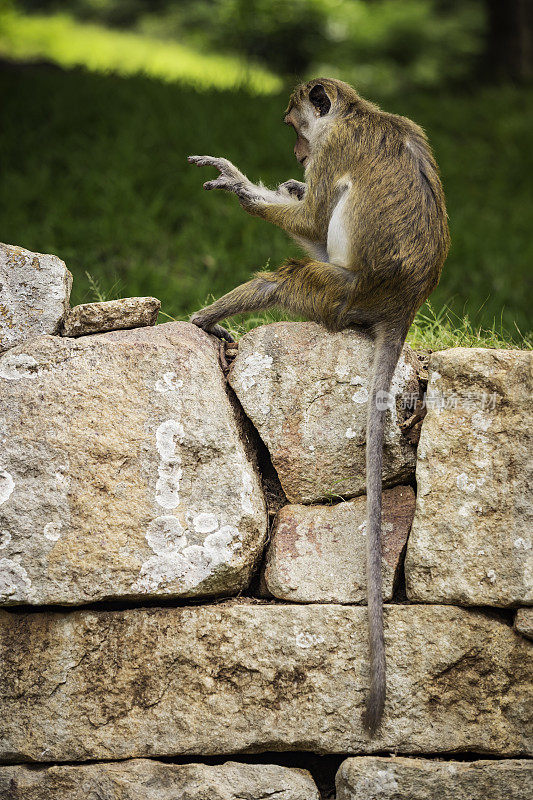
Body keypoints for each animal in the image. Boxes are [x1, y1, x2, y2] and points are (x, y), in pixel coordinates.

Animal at [187, 76, 448, 732]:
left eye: (295, 127)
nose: (298, 156)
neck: (357, 114)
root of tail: (401, 305)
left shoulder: (336, 152)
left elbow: (312, 218)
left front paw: (243, 184)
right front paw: (283, 185)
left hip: (339, 296)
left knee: (289, 276)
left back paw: (205, 319)